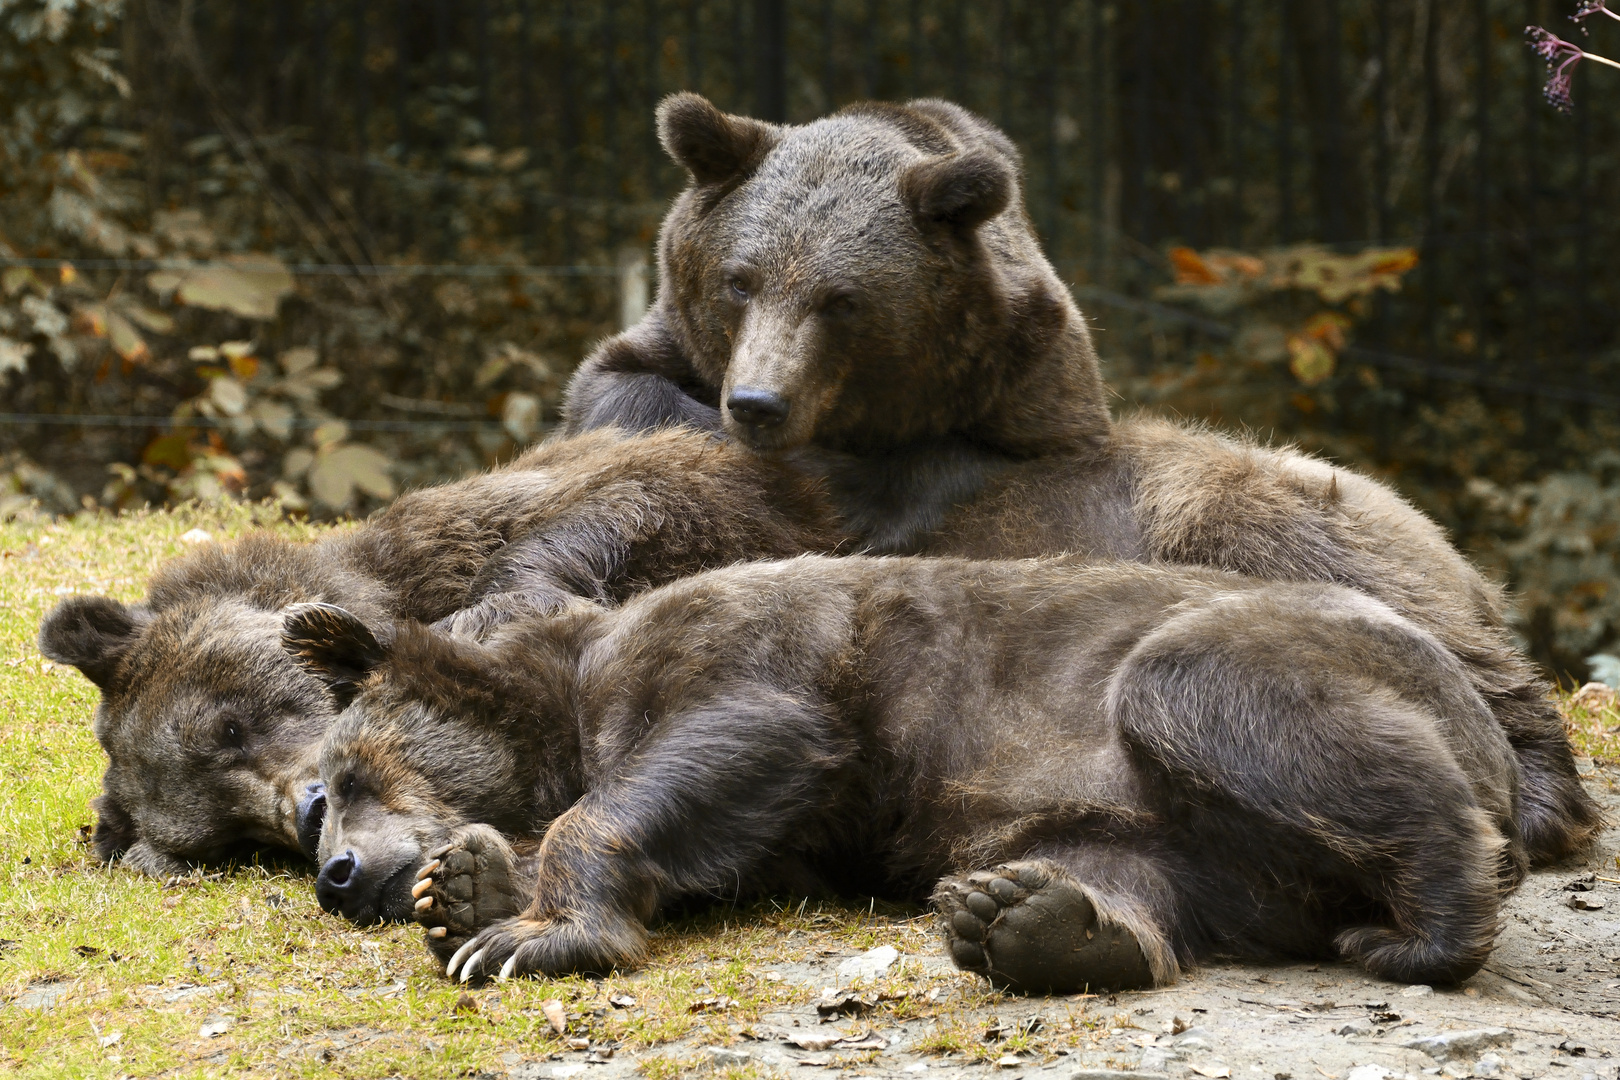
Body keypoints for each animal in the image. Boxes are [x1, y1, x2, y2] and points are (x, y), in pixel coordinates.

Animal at [288, 557, 1516, 997]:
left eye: (341, 779)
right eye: (318, 804)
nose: (335, 875)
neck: (572, 700)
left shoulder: (773, 671)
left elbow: (722, 743)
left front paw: (527, 933)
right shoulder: (806, 828)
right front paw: (465, 890)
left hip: (1247, 658)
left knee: (1212, 701)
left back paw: (1424, 926)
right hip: (1176, 839)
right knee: (1119, 869)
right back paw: (1039, 924)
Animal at [563, 93, 1600, 867]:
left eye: (842, 300)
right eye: (740, 280)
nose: (758, 402)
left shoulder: (1030, 404)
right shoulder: (670, 347)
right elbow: (618, 390)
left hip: (1262, 515)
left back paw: (1540, 797)